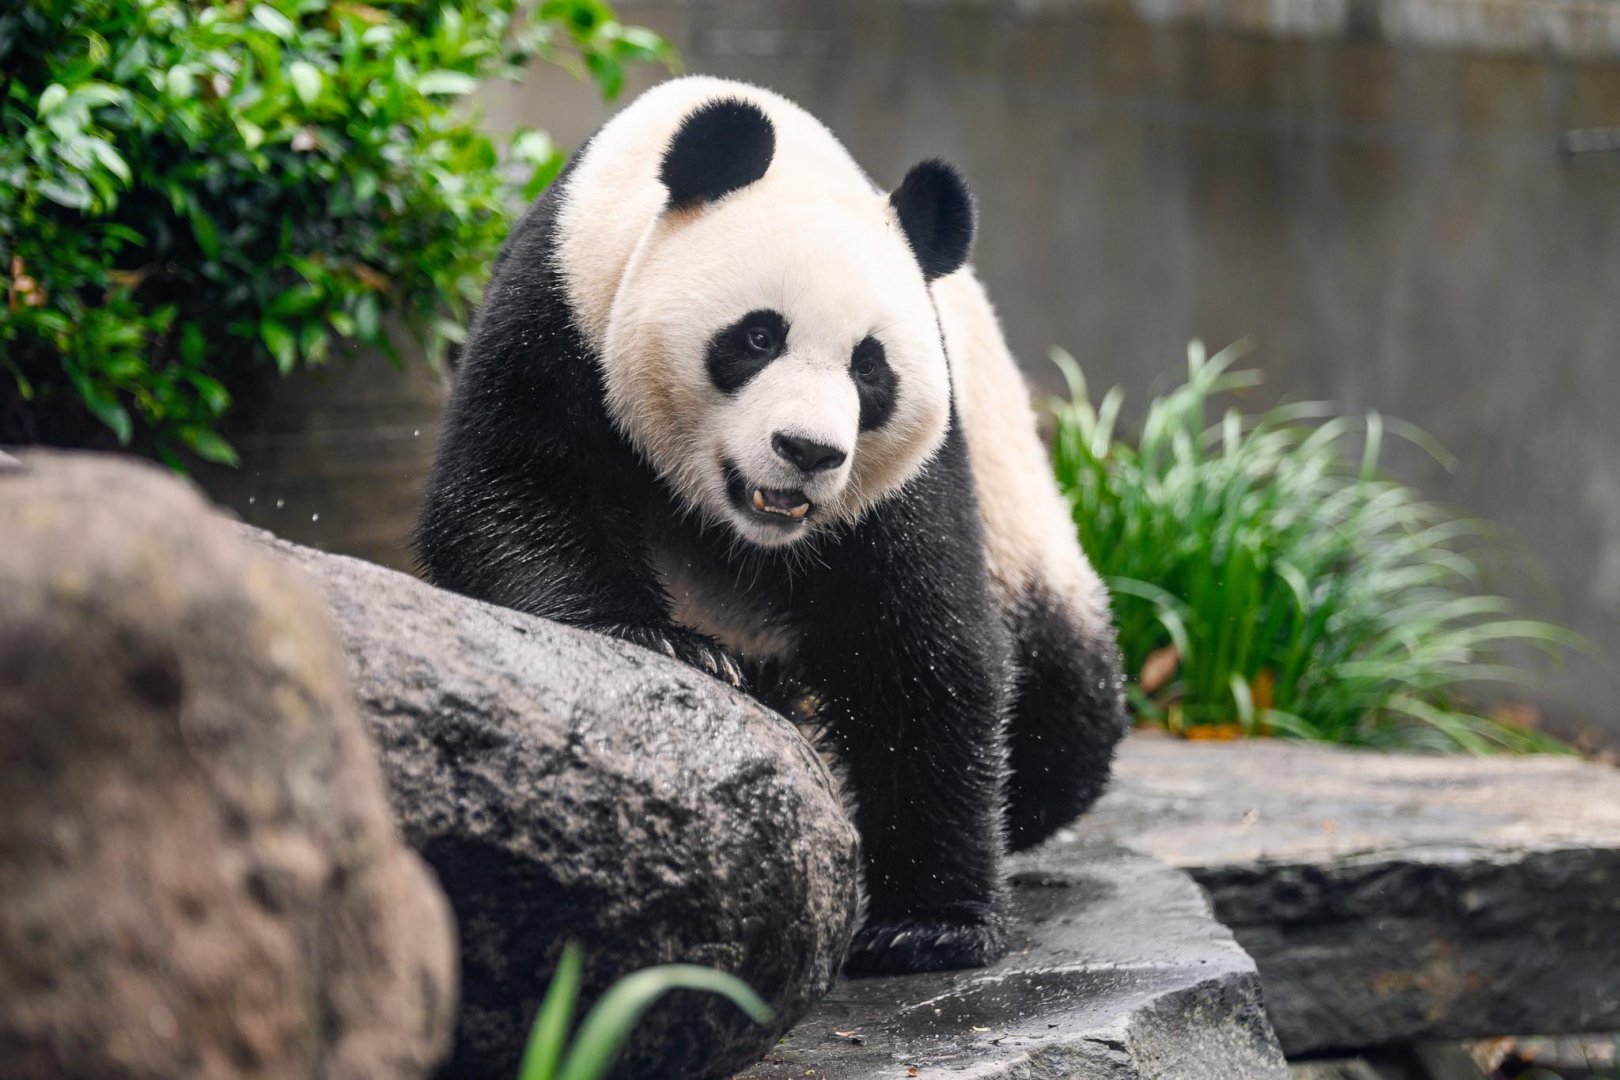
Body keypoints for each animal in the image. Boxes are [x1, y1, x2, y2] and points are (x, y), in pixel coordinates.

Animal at [416, 76, 1128, 975]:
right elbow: (512, 492)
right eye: (757, 336)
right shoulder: (560, 309)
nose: (808, 451)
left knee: (1067, 705)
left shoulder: (913, 463)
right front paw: (666, 644)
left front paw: (931, 922)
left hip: (1025, 519)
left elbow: (917, 644)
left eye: (871, 367)